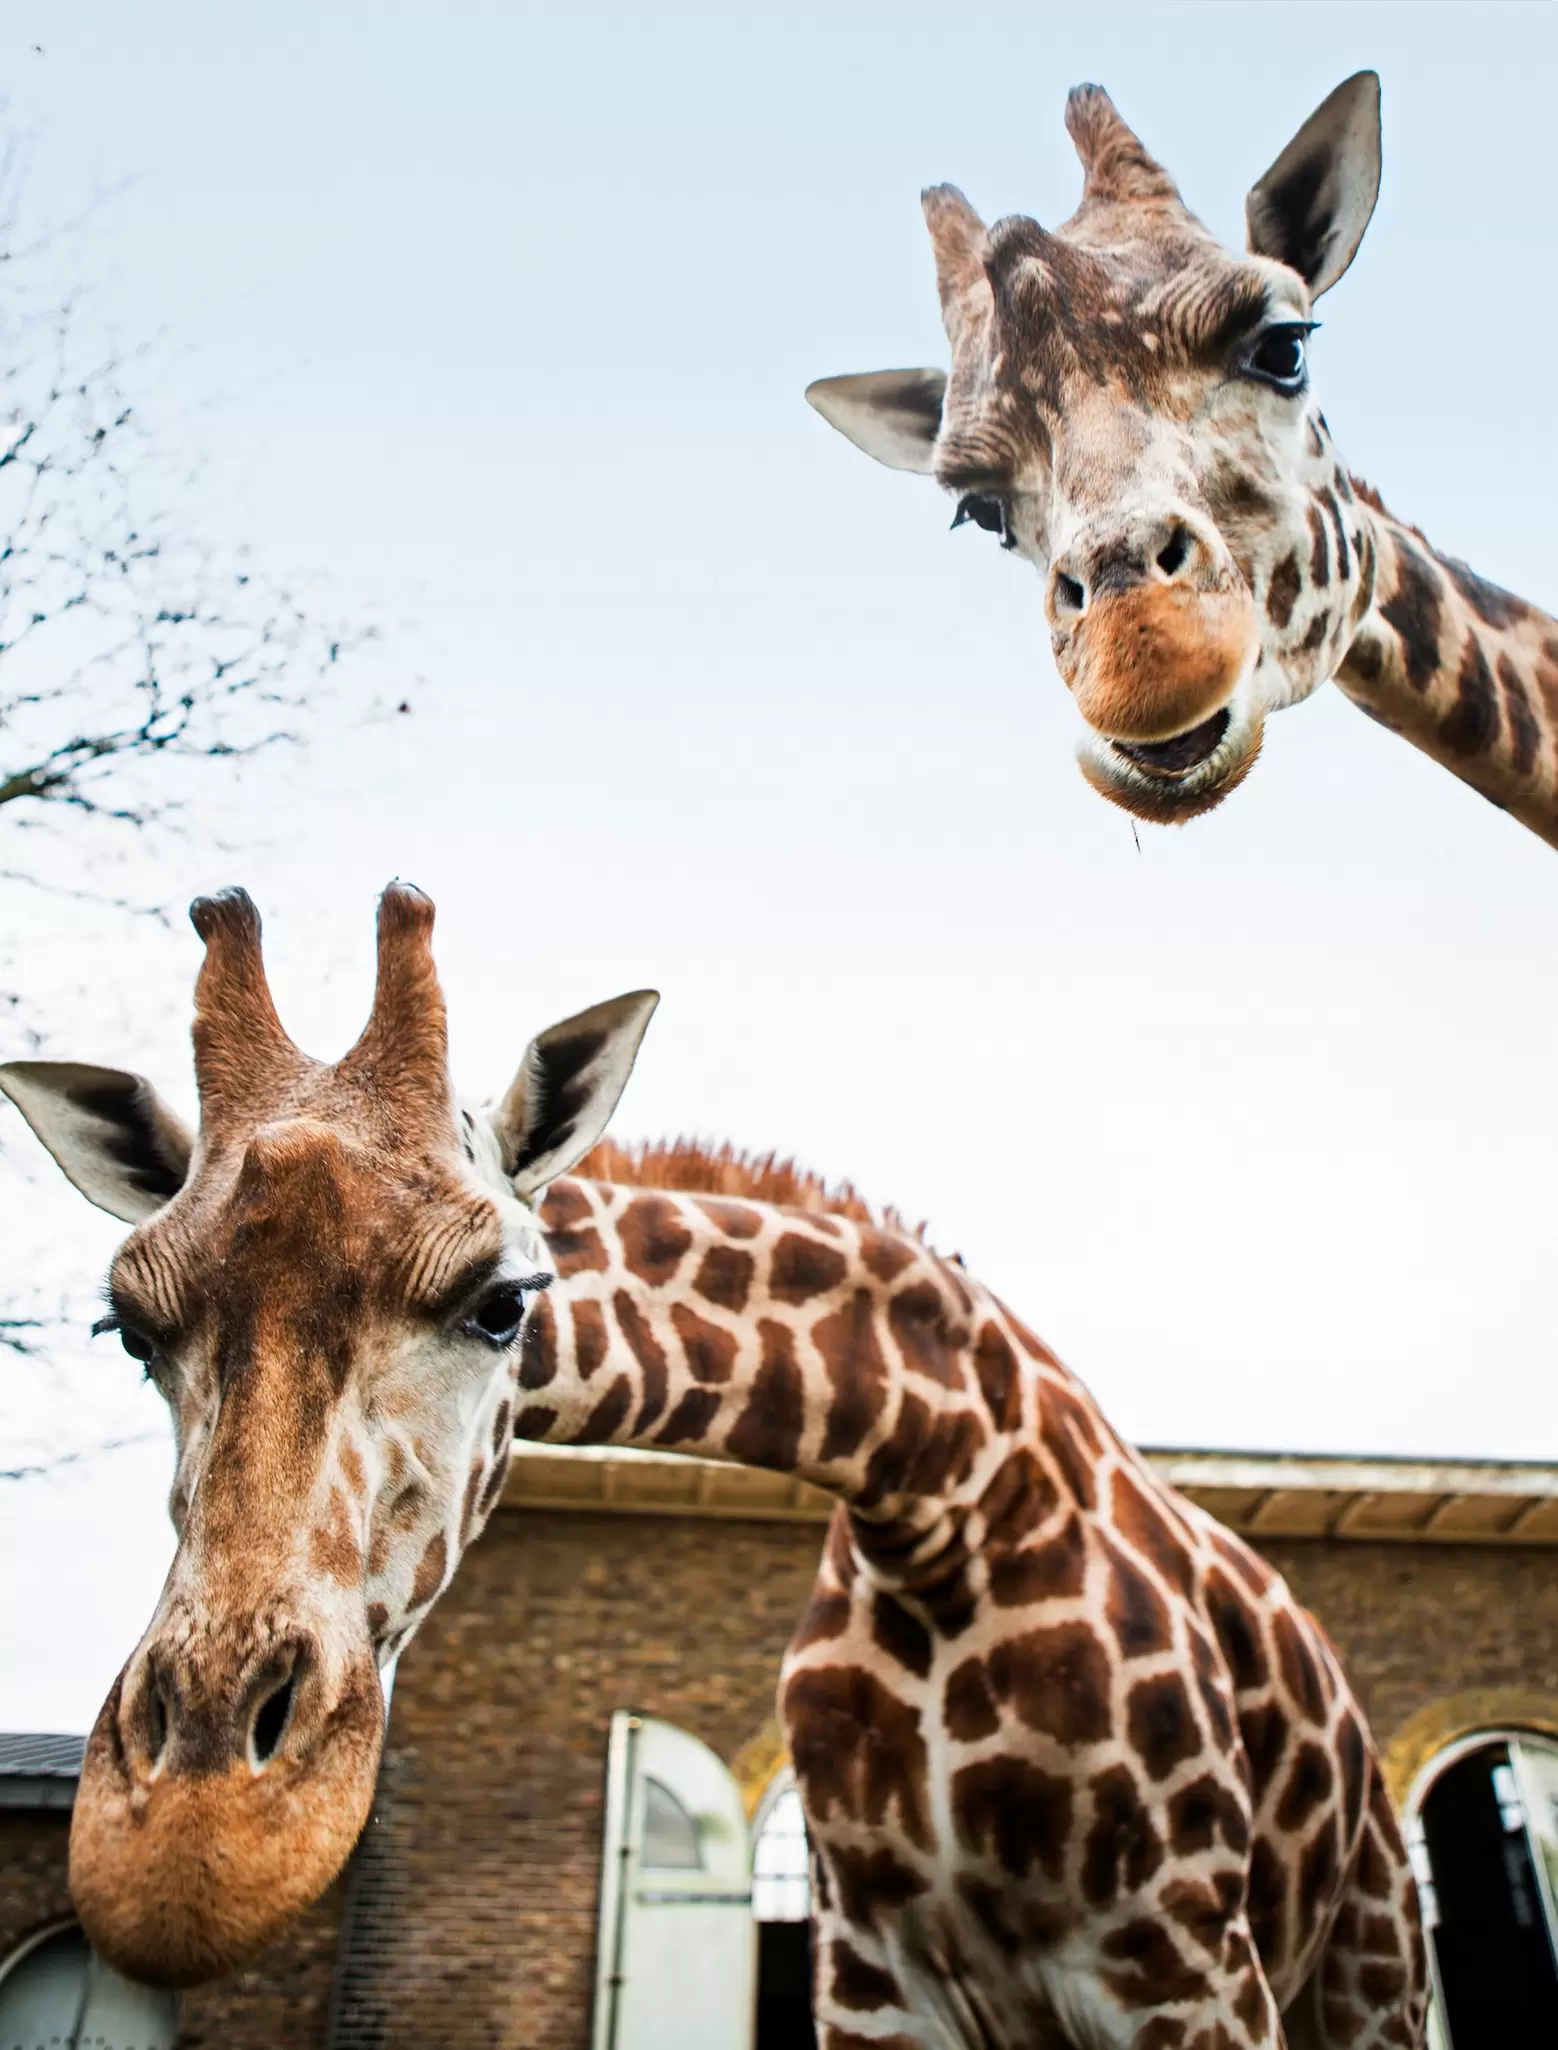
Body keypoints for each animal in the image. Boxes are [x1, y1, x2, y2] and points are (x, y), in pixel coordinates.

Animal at [0, 884, 1426, 2048]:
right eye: (127, 1329)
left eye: (504, 1302)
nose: (192, 1849)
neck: (946, 1496)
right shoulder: (878, 1983)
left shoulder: (1184, 1967)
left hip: (1369, 1962)